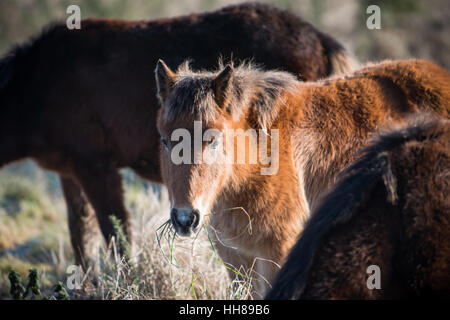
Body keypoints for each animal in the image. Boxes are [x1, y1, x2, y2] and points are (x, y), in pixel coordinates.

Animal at [0, 2, 356, 268]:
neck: (38, 83)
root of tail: (321, 40)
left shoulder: (97, 169)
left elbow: (116, 235)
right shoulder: (70, 172)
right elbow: (81, 236)